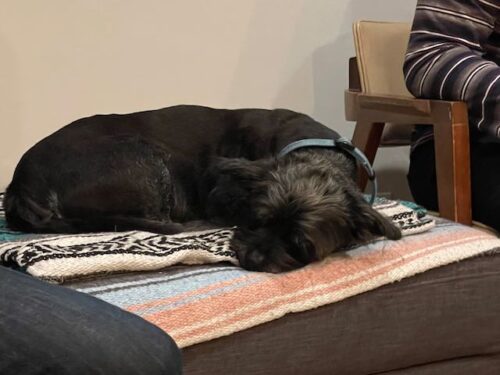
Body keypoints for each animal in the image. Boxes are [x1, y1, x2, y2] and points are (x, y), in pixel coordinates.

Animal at [3, 106, 400, 274]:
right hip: (146, 158)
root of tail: (21, 184)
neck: (314, 149)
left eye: (301, 245)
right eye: (256, 219)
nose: (252, 259)